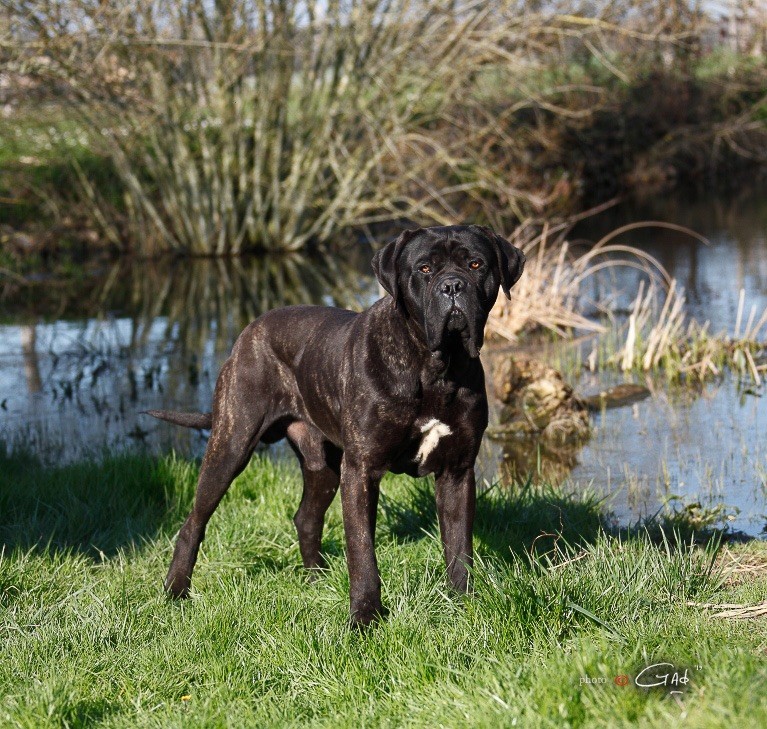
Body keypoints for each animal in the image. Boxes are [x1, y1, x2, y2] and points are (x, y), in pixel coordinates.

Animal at [147, 225, 524, 624]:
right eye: (424, 269)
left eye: (475, 264)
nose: (452, 286)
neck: (436, 366)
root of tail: (248, 331)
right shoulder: (361, 470)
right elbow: (362, 551)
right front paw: (365, 617)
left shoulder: (457, 472)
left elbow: (459, 548)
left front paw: (463, 604)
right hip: (232, 444)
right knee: (193, 523)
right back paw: (175, 591)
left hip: (323, 465)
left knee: (306, 518)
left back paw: (317, 580)